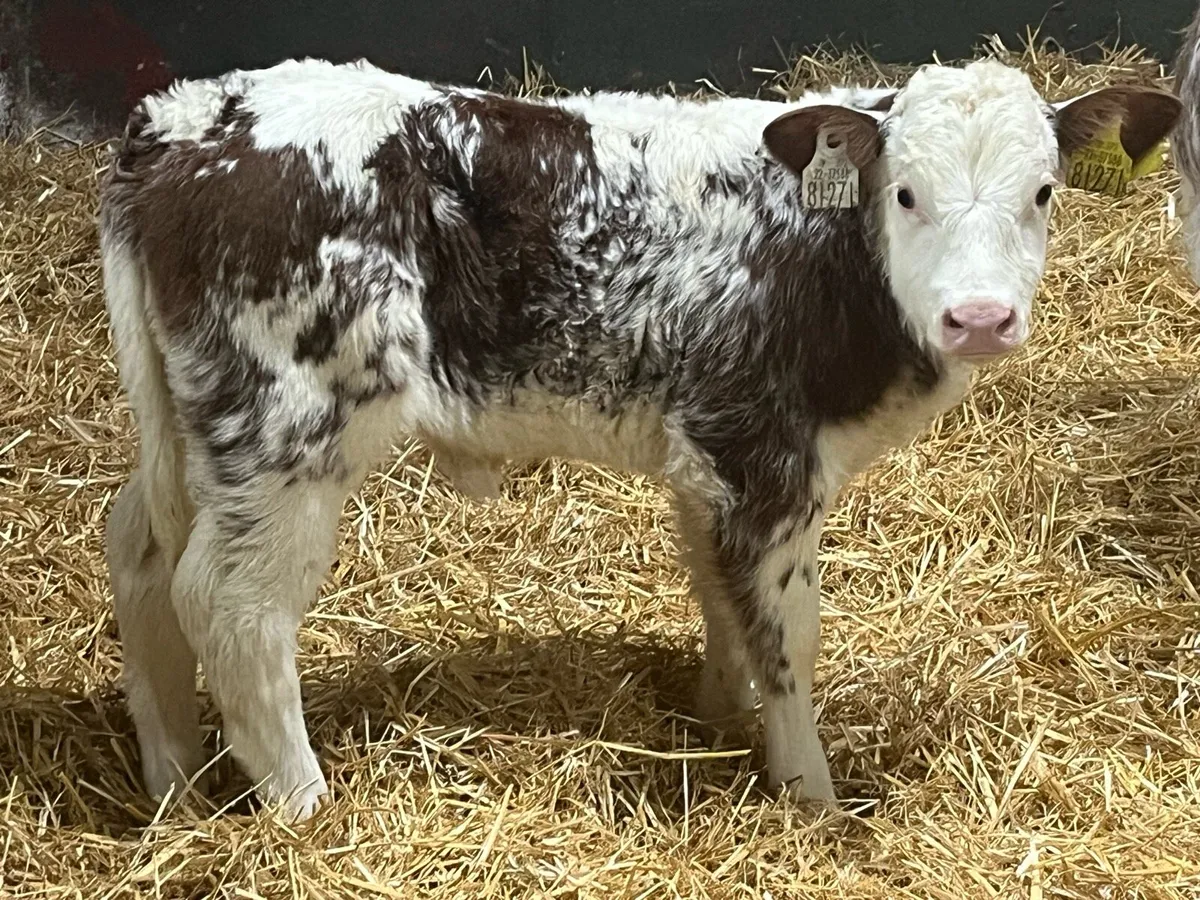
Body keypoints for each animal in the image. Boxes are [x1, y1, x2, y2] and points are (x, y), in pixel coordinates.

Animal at [98, 55, 1180, 821]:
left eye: (1043, 192)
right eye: (904, 192)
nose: (982, 318)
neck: (825, 254)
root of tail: (184, 118)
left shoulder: (707, 458)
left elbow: (720, 596)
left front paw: (720, 717)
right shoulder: (765, 454)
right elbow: (788, 630)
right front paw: (811, 794)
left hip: (194, 431)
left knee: (138, 547)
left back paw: (173, 778)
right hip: (288, 431)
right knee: (232, 605)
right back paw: (303, 807)